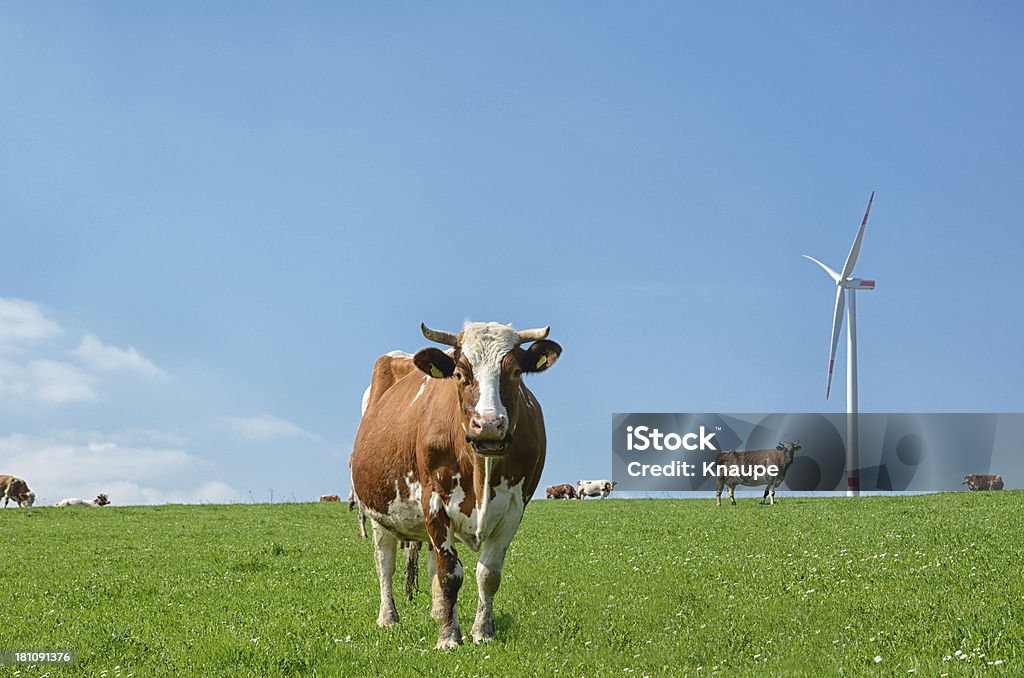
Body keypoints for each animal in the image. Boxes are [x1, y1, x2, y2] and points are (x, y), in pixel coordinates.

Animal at [350, 321, 561, 651]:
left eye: (515, 372)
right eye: (460, 375)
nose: (488, 425)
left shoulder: (515, 508)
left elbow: (488, 574)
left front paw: (482, 631)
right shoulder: (435, 501)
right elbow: (450, 573)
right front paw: (449, 637)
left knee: (431, 564)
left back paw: (438, 612)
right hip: (376, 510)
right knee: (385, 562)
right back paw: (388, 618)